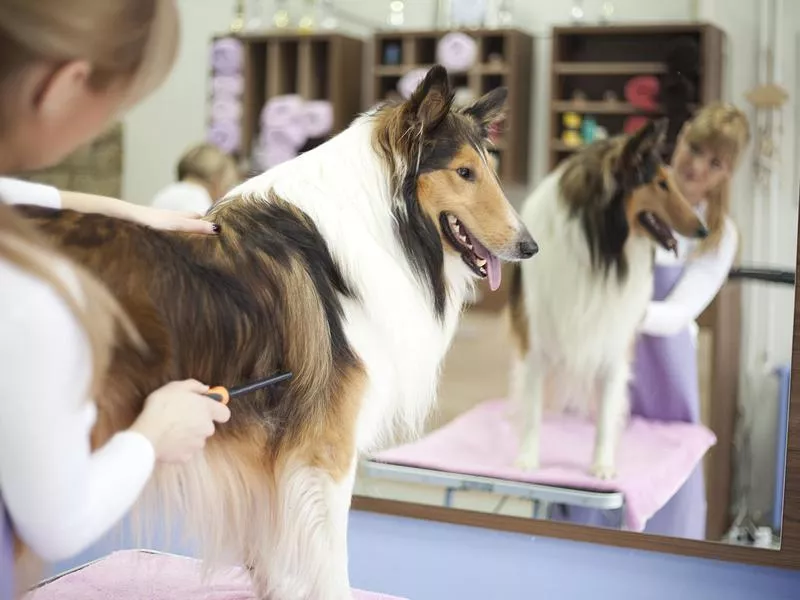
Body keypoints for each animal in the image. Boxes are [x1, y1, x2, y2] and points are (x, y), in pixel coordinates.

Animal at [14, 63, 536, 596]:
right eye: (464, 172)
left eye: (490, 169)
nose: (529, 246)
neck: (385, 228)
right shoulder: (325, 452)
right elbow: (329, 568)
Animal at [506, 119, 708, 480]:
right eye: (660, 183)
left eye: (671, 182)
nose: (703, 230)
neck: (600, 247)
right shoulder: (535, 338)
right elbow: (531, 407)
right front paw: (527, 460)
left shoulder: (613, 340)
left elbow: (606, 413)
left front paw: (602, 465)